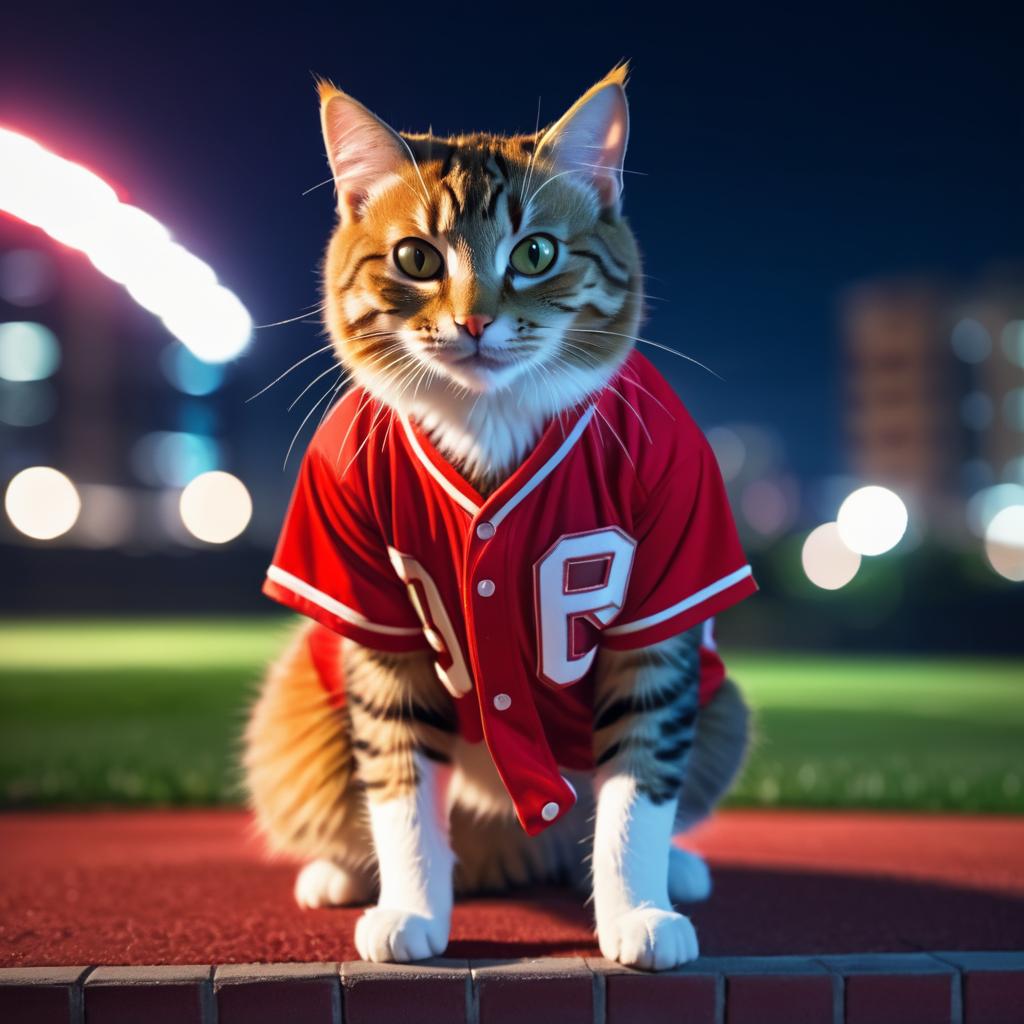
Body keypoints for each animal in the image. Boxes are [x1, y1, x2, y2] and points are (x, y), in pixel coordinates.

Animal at [243, 64, 757, 966]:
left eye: (536, 254)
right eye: (415, 258)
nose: (475, 320)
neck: (490, 416)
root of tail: (506, 849)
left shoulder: (667, 590)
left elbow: (638, 785)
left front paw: (637, 910)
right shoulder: (372, 604)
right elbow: (400, 779)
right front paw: (412, 906)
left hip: (725, 703)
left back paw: (677, 870)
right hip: (292, 709)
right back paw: (341, 875)